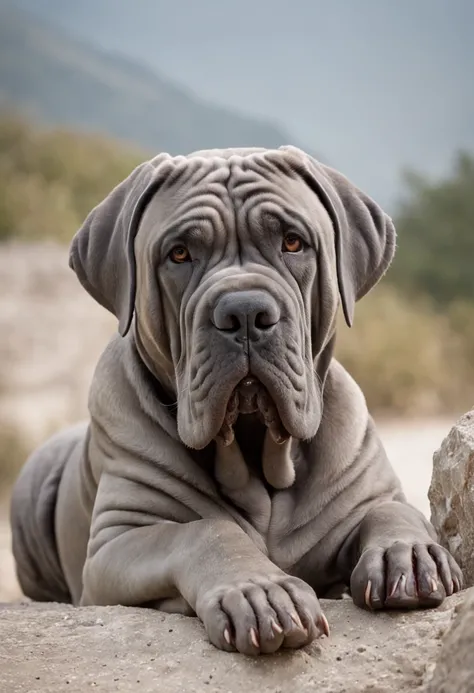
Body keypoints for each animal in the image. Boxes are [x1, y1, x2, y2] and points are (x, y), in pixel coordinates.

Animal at [12, 146, 462, 656]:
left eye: (293, 243)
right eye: (179, 253)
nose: (245, 311)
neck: (257, 456)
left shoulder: (370, 491)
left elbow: (392, 509)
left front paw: (406, 554)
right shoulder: (114, 544)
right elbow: (202, 530)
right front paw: (261, 592)